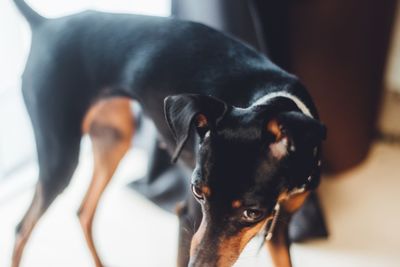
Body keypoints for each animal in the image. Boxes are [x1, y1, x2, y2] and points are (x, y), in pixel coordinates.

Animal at [12, 1, 326, 266]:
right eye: (197, 191)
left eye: (252, 212)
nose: (197, 265)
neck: (274, 98)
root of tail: (45, 24)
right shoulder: (188, 216)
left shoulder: (281, 225)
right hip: (60, 157)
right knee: (22, 228)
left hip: (113, 139)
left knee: (84, 211)